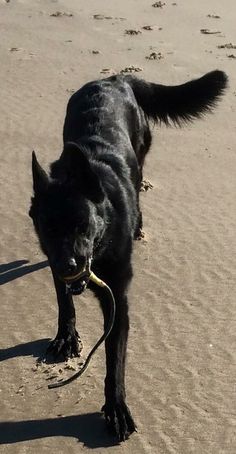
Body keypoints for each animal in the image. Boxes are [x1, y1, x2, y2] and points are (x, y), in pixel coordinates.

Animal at [29, 70, 227, 440]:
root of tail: (114, 78)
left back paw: (139, 223)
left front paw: (116, 408)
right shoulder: (53, 261)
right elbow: (65, 302)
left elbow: (114, 360)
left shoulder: (117, 302)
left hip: (142, 151)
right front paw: (66, 337)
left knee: (139, 181)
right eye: (48, 228)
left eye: (82, 224)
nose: (70, 265)